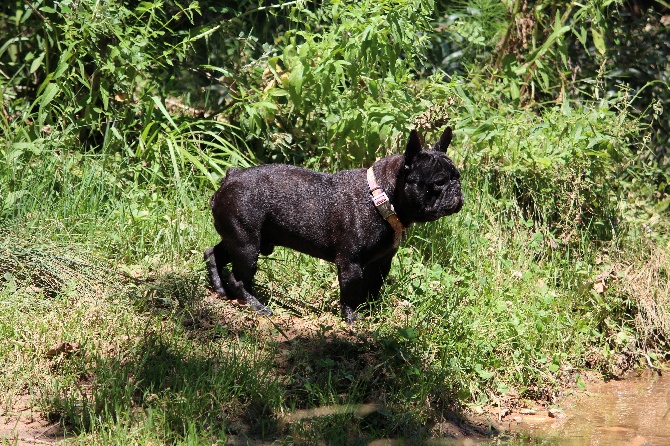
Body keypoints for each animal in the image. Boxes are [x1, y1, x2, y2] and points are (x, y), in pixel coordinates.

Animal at [205, 127, 464, 322]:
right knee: (239, 278)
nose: (457, 189)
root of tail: (231, 177)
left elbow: (373, 288)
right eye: (439, 183)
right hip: (247, 246)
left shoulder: (381, 262)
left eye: (458, 177)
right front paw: (352, 319)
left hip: (240, 240)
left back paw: (219, 288)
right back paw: (256, 306)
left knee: (213, 253)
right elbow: (350, 293)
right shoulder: (351, 264)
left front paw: (370, 312)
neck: (380, 196)